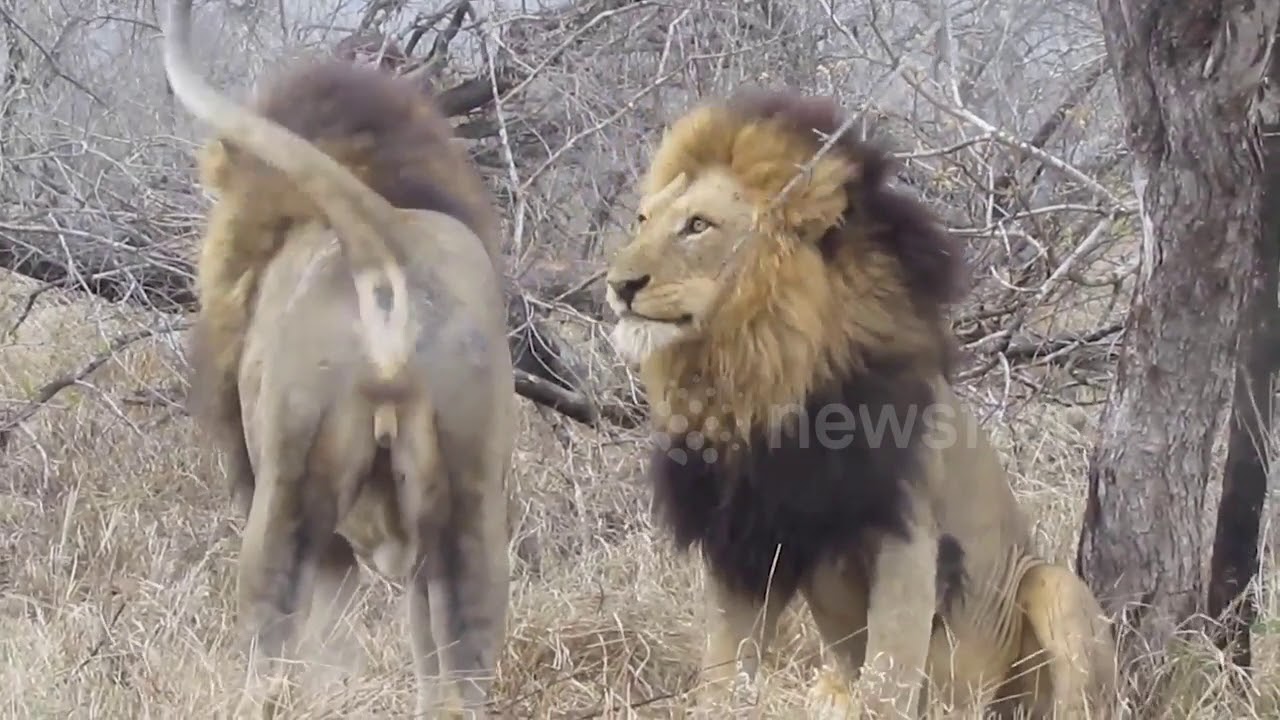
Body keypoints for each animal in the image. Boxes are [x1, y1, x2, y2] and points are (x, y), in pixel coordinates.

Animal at [161, 1, 514, 717]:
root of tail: (384, 238)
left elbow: (329, 649)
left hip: (289, 489)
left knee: (271, 645)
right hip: (469, 497)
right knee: (462, 670)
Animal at [604, 90, 1116, 717]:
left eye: (697, 226)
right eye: (642, 220)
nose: (618, 284)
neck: (758, 379)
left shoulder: (906, 538)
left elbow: (887, 678)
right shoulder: (744, 544)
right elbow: (721, 675)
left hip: (1052, 591)